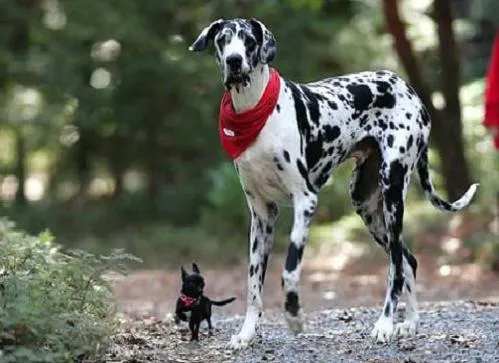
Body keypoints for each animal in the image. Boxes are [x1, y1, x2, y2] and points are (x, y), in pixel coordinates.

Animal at [189, 18, 478, 348]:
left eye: (249, 40)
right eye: (223, 40)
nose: (234, 61)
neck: (256, 110)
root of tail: (408, 88)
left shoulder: (305, 201)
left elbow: (289, 271)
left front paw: (294, 316)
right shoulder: (262, 215)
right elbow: (252, 284)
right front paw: (247, 333)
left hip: (392, 195)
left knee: (395, 266)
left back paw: (385, 324)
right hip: (366, 205)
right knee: (408, 261)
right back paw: (411, 323)